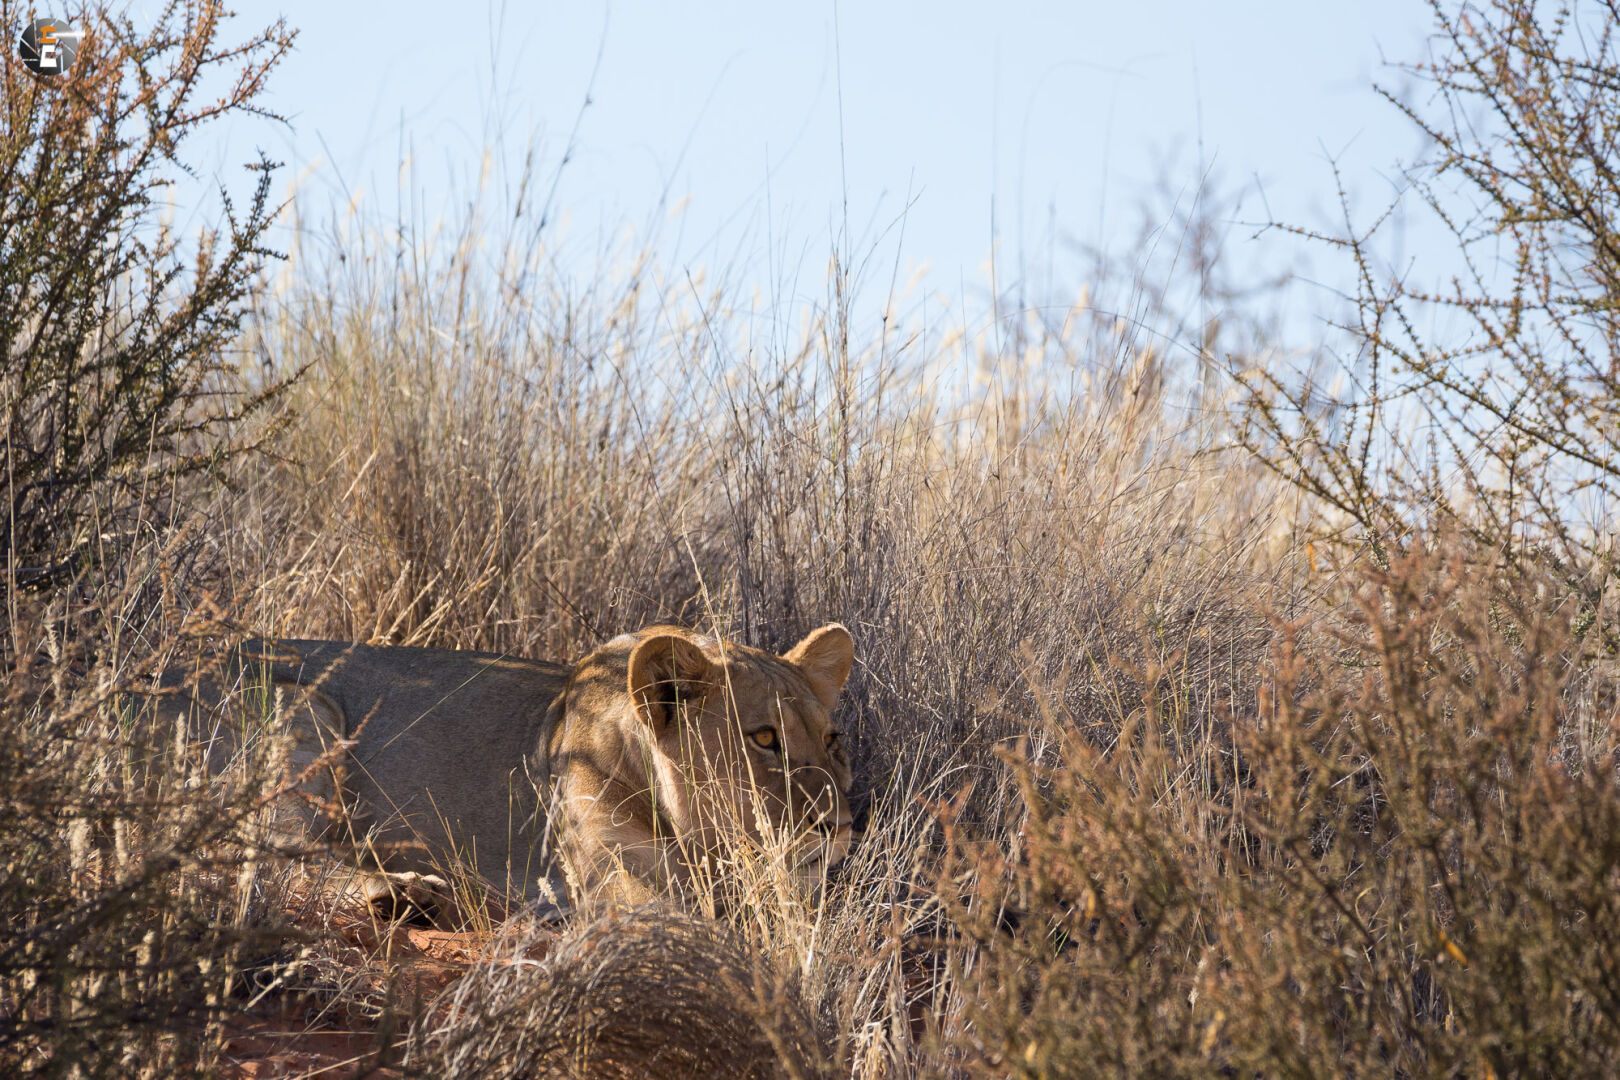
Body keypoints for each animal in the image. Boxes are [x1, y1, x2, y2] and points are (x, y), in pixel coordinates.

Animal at [161, 623, 855, 918]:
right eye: (764, 739)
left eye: (832, 740)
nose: (841, 827)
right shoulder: (615, 880)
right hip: (301, 706)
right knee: (271, 860)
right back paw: (405, 891)